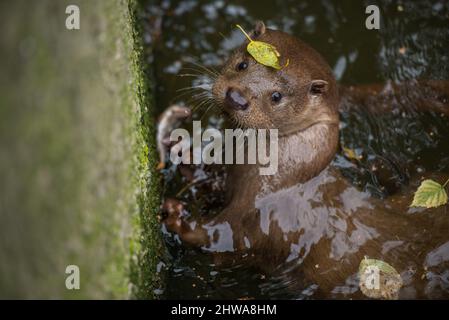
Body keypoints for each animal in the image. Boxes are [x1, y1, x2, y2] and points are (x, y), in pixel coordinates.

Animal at [161, 22, 448, 300]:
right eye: (243, 64)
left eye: (276, 96)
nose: (237, 98)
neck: (285, 174)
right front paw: (192, 164)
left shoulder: (257, 212)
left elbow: (222, 236)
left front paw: (178, 216)